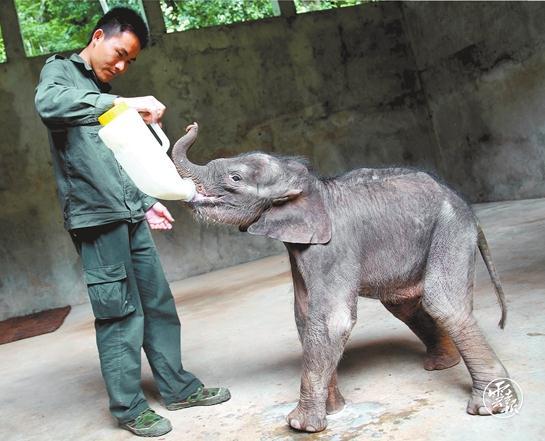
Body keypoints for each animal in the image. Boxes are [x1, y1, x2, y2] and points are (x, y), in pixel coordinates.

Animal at [173, 122, 510, 432]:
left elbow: (332, 319)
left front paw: (301, 425)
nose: (192, 125)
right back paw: (441, 364)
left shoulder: (333, 248)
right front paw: (333, 411)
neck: (311, 186)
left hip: (451, 229)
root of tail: (466, 206)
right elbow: (305, 316)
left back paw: (487, 405)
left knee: (442, 303)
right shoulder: (301, 250)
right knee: (403, 304)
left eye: (235, 178)